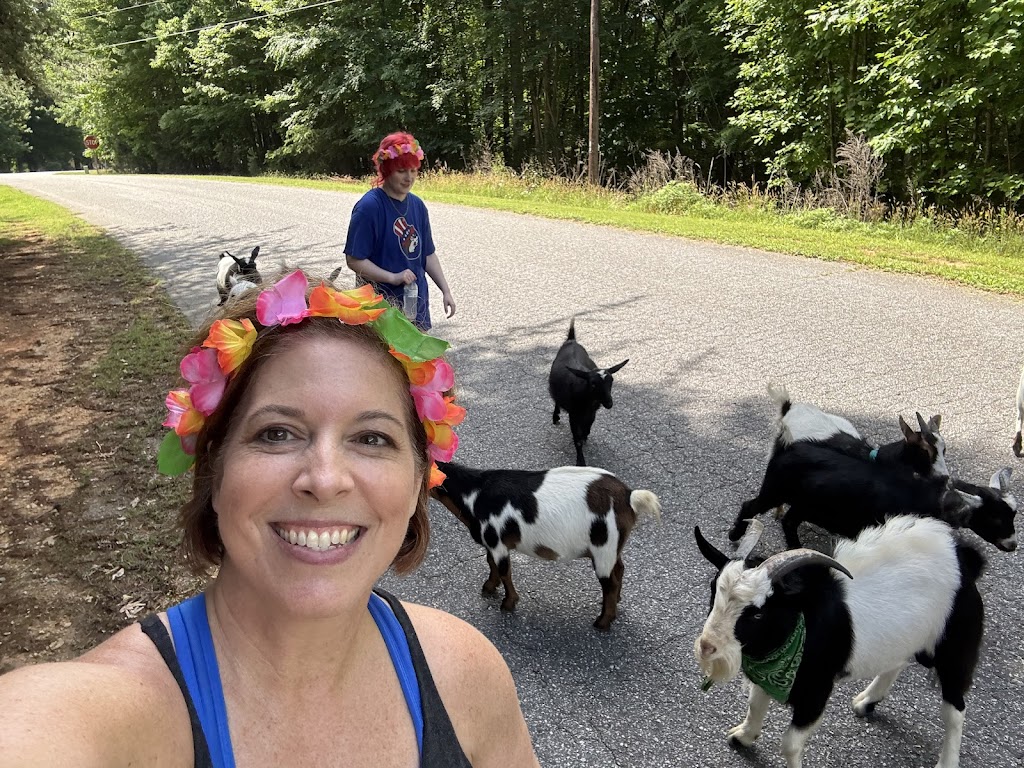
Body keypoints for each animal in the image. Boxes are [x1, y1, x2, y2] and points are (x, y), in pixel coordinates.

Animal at [431, 461, 660, 630]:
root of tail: (628, 496)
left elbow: (504, 570)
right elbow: (490, 563)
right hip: (613, 546)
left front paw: (508, 603)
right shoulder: (492, 543)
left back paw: (602, 622)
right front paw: (488, 587)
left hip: (603, 546)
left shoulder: (497, 542)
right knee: (619, 569)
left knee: (609, 582)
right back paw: (617, 602)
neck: (474, 494)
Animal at [548, 318, 628, 466]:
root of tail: (571, 340)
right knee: (556, 400)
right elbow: (577, 438)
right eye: (593, 384)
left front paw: (585, 436)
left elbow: (588, 426)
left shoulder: (592, 412)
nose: (609, 403)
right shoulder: (573, 415)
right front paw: (581, 461)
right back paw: (555, 417)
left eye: (612, 381)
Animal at [695, 517, 985, 768]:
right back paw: (867, 701)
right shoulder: (765, 677)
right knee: (897, 661)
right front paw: (743, 737)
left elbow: (789, 744)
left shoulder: (816, 692)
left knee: (955, 709)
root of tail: (963, 560)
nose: (707, 646)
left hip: (955, 649)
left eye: (757, 613)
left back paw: (946, 762)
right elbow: (755, 705)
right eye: (713, 591)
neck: (800, 620)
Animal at [728, 443, 1017, 551]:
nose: (1013, 545)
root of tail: (784, 449)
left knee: (789, 520)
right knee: (751, 505)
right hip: (774, 490)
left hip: (803, 503)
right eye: (995, 518)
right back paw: (735, 535)